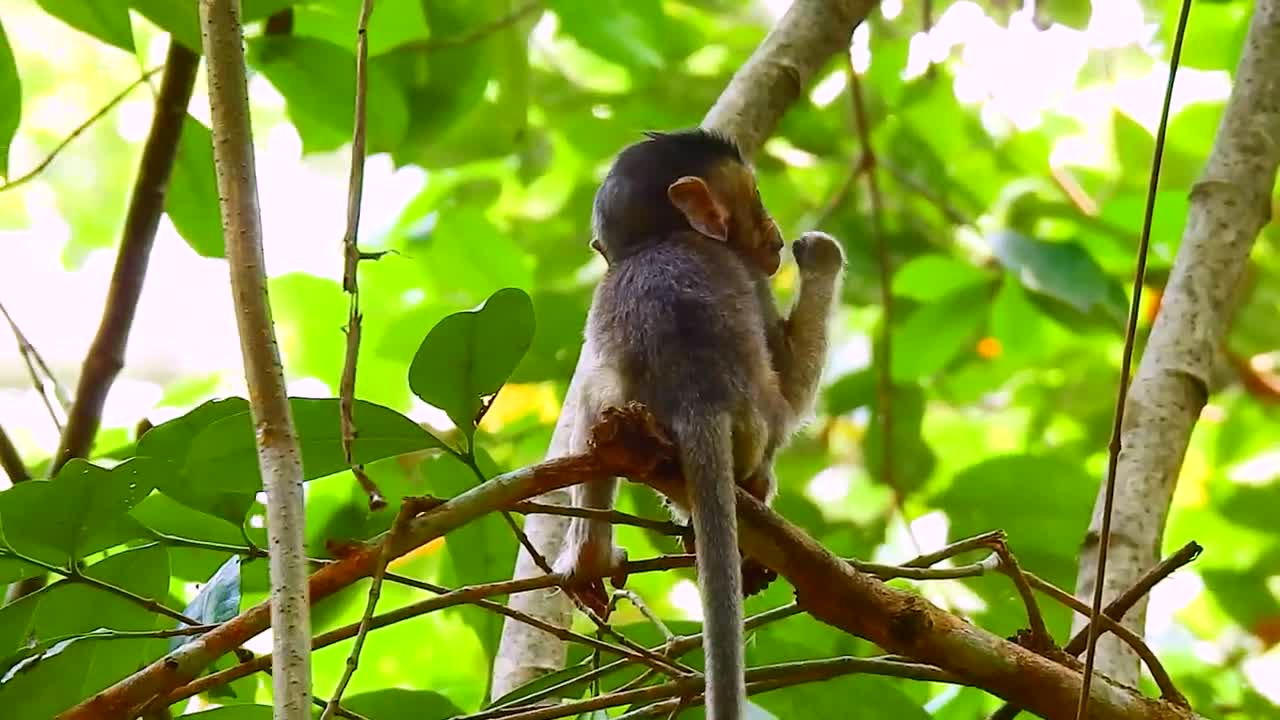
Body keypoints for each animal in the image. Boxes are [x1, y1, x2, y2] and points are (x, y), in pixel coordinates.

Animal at [554, 128, 845, 719]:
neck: (657, 237)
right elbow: (794, 388)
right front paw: (821, 254)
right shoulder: (752, 280)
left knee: (597, 408)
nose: (776, 234)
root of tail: (699, 401)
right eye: (755, 199)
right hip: (753, 434)